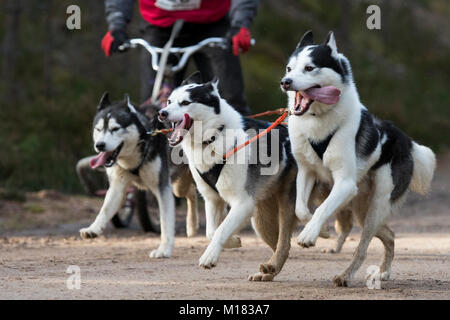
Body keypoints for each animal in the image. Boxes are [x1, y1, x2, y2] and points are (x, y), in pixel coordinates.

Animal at [79, 94, 199, 258]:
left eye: (115, 128)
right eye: (98, 129)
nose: (100, 145)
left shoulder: (162, 188)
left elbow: (165, 221)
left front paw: (164, 249)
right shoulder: (117, 186)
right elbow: (105, 209)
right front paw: (93, 229)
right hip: (178, 186)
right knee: (191, 193)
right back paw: (192, 226)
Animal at [158, 72, 298, 280]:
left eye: (185, 102)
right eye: (169, 101)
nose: (162, 113)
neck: (214, 136)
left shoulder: (242, 203)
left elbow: (220, 230)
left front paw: (209, 257)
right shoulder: (213, 200)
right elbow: (212, 231)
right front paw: (233, 241)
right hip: (261, 220)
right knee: (283, 245)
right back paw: (267, 271)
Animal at [282, 31, 436, 286]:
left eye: (309, 68)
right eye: (289, 68)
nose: (285, 82)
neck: (318, 120)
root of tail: (405, 140)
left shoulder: (344, 183)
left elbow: (323, 208)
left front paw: (309, 234)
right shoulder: (307, 172)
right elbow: (301, 210)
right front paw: (319, 229)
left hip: (376, 205)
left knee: (363, 246)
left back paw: (346, 276)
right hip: (363, 208)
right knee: (389, 235)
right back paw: (383, 271)